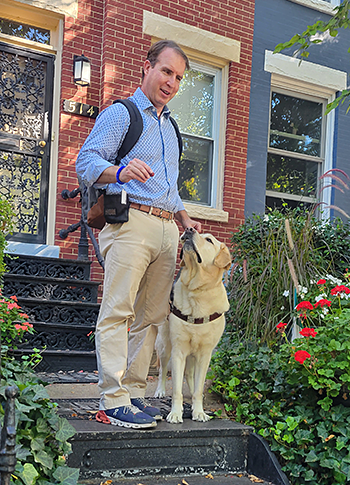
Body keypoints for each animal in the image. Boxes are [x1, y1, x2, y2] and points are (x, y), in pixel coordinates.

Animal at [154, 226, 231, 420]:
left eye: (209, 240)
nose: (189, 228)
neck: (197, 291)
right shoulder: (179, 350)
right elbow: (176, 390)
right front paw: (175, 413)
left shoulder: (205, 353)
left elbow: (198, 387)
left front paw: (199, 411)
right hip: (165, 345)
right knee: (162, 369)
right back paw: (160, 390)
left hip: (194, 355)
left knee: (191, 375)